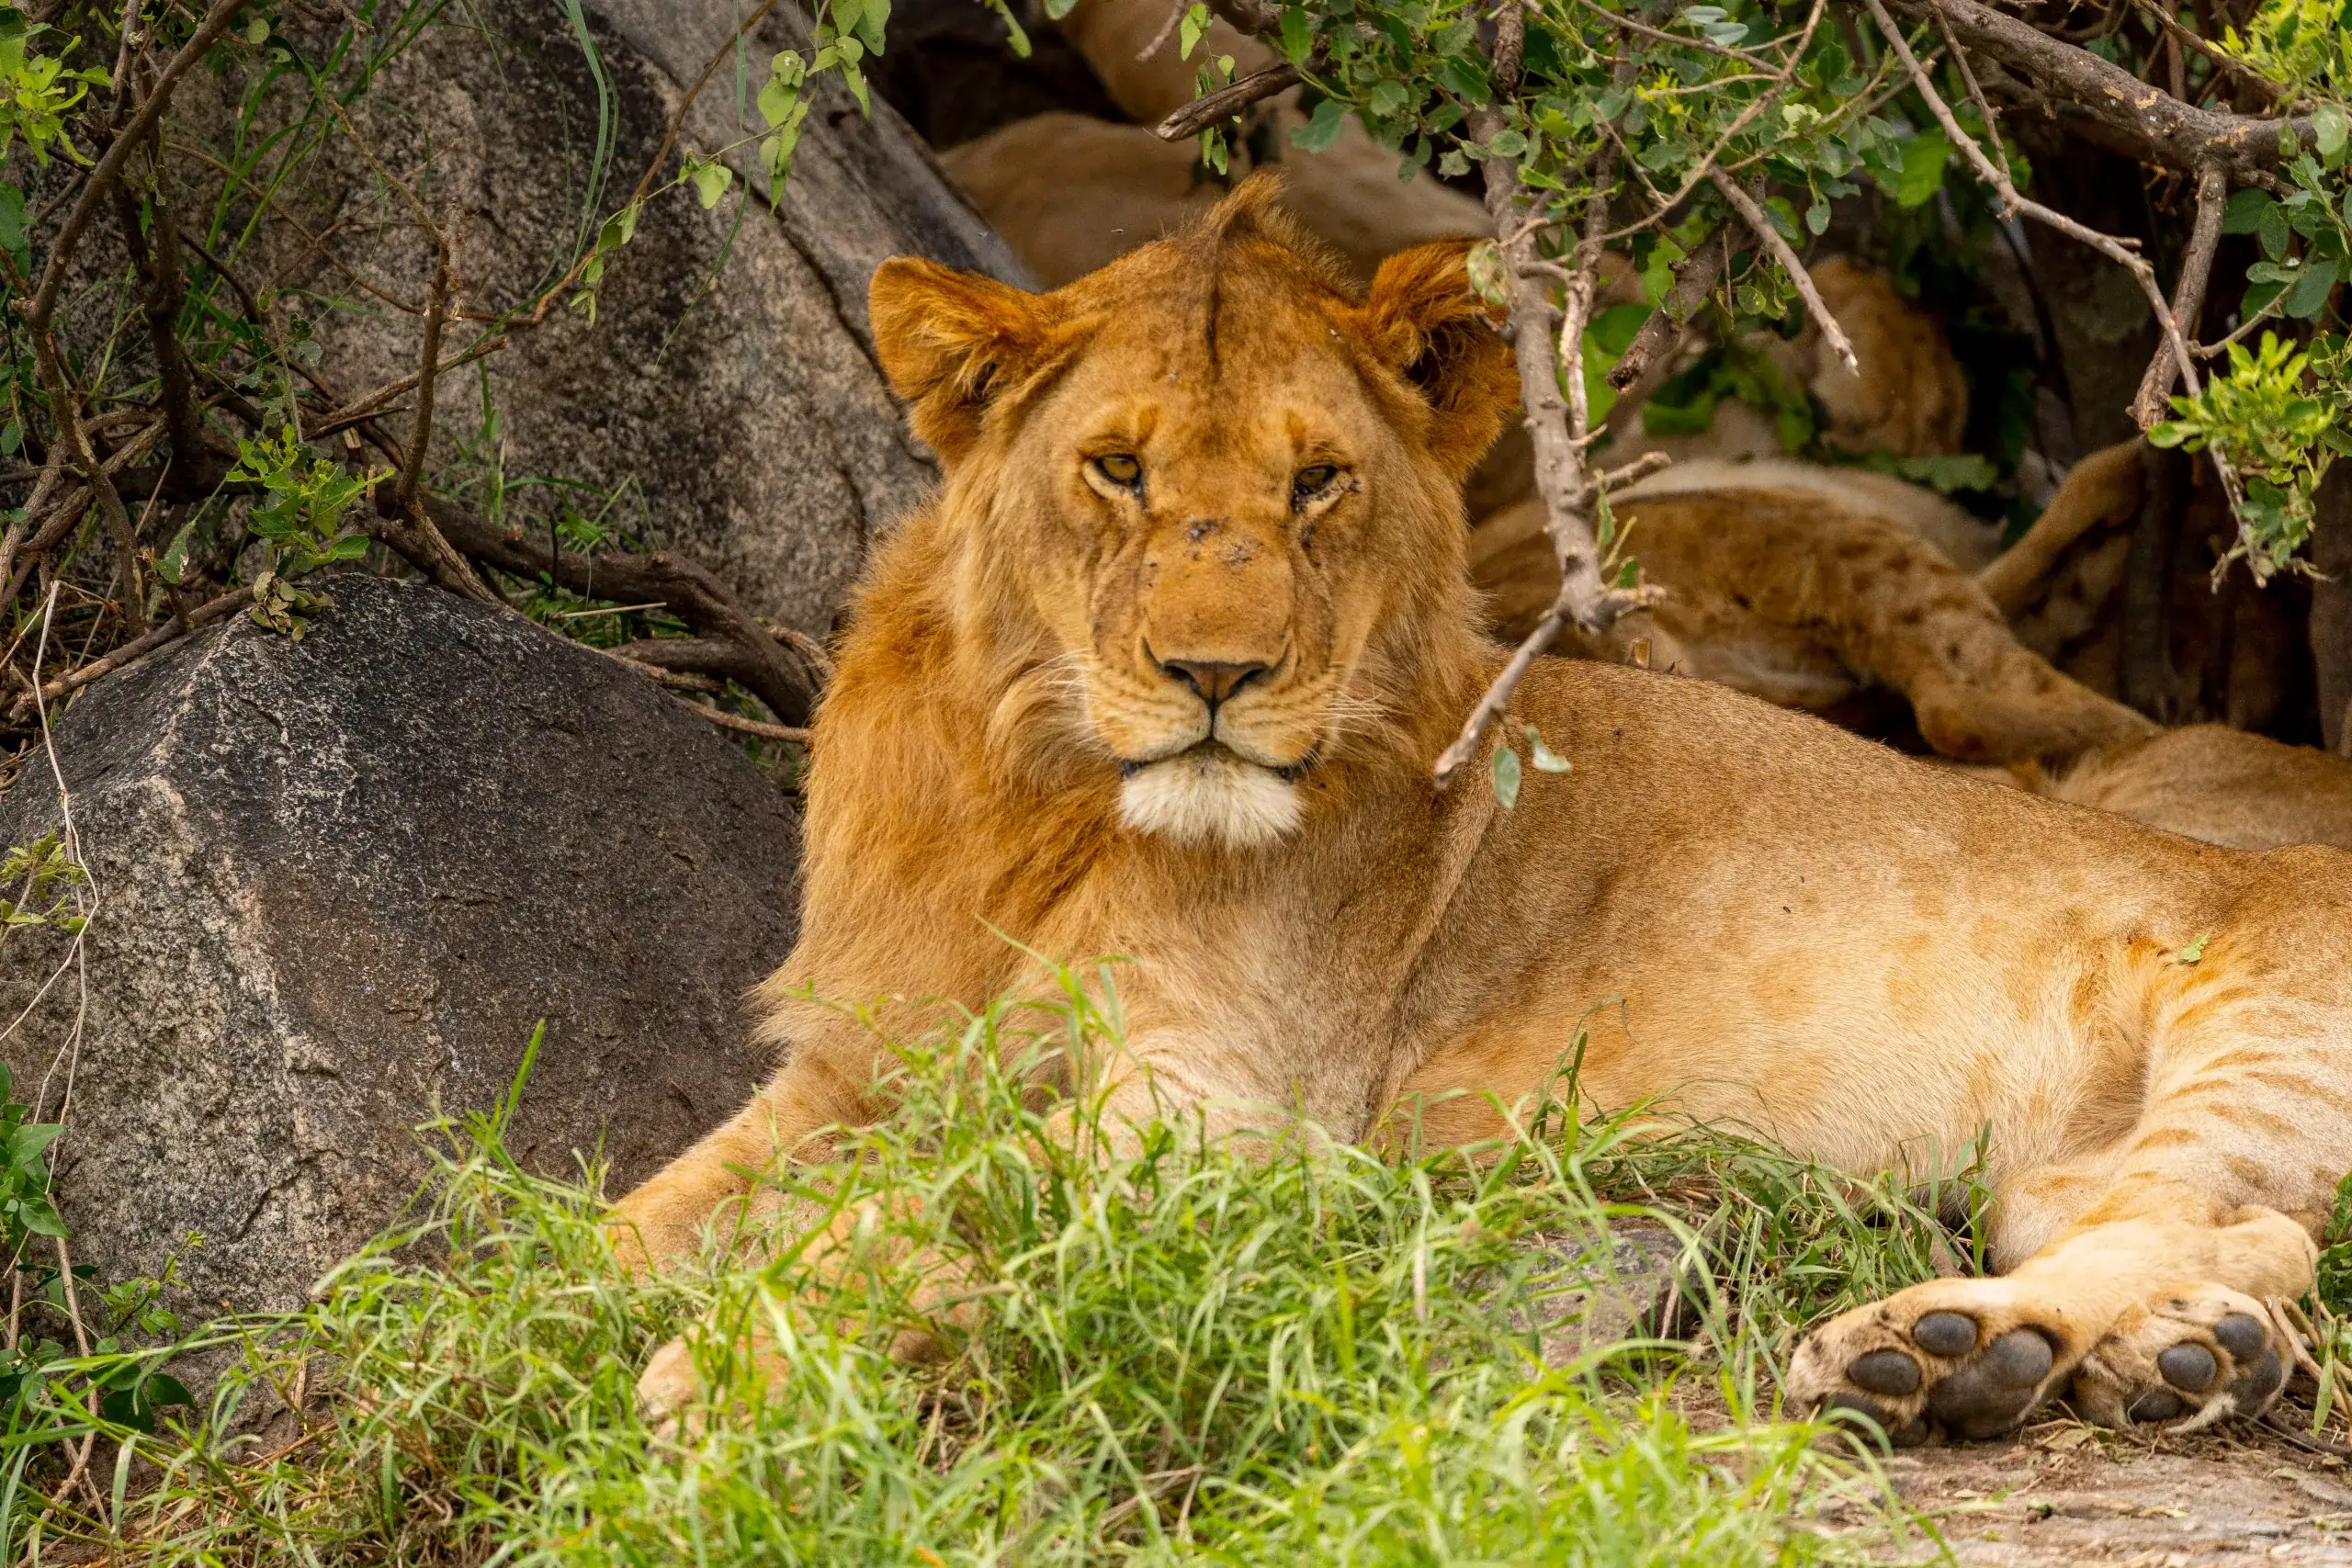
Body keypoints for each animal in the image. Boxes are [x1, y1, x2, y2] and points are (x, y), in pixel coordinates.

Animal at [612, 182, 2350, 1444]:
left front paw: (727, 1366)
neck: (1030, 796)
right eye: (1117, 469)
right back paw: (2169, 1357)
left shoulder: (1227, 1104)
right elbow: (629, 1219)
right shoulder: (854, 1064)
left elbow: (924, 1202)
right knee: (2218, 1232)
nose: (1217, 673)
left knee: (2216, 1215)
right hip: (2056, 1164)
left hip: (2268, 1040)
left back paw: (1939, 1351)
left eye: (1318, 483)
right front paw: (562, 1319)